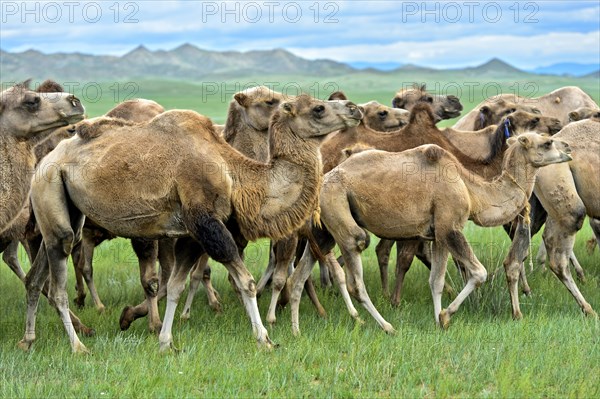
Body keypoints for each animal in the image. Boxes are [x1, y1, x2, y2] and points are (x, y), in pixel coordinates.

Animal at [19, 94, 360, 354]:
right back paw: (78, 345)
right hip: (52, 194)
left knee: (36, 277)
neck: (234, 174)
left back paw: (28, 339)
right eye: (318, 108)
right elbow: (246, 282)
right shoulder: (206, 222)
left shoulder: (192, 235)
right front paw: (264, 338)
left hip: (62, 212)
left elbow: (174, 286)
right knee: (58, 284)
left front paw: (165, 342)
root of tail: (45, 159)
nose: (354, 109)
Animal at [286, 122, 572, 334]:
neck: (471, 190)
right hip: (339, 209)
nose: (568, 147)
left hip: (323, 229)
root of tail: (323, 181)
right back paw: (385, 326)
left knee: (298, 277)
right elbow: (478, 273)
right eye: (547, 142)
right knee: (356, 266)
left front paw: (438, 319)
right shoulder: (451, 226)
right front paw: (446, 315)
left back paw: (296, 330)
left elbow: (436, 280)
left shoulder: (439, 234)